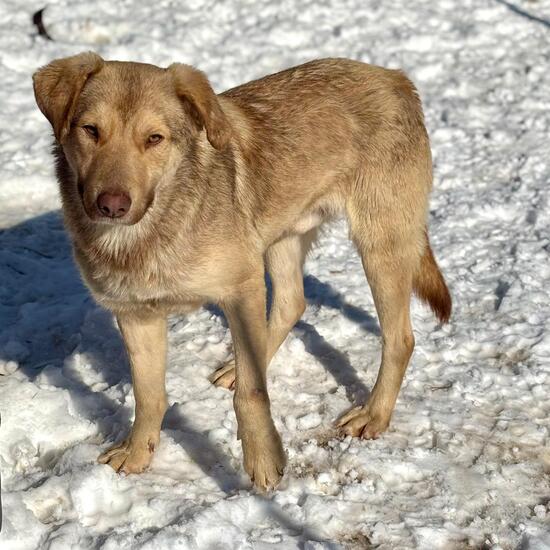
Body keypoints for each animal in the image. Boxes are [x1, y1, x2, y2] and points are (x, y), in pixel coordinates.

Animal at [33, 53, 451, 490]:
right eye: (91, 130)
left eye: (154, 139)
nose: (112, 204)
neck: (150, 233)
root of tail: (394, 77)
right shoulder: (136, 315)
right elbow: (148, 396)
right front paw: (137, 455)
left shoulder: (242, 289)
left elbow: (251, 393)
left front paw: (265, 462)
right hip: (280, 239)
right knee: (292, 303)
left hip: (380, 247)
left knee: (399, 339)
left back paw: (374, 414)